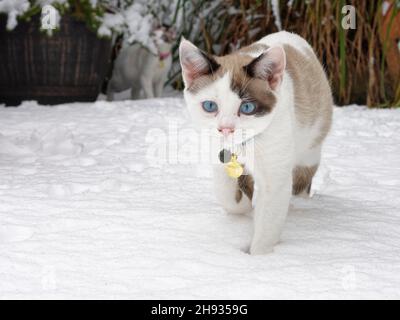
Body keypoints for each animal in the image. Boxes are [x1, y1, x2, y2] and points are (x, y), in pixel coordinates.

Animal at [180, 30, 332, 255]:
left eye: (247, 108)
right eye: (209, 106)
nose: (226, 128)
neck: (242, 147)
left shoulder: (275, 177)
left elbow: (268, 222)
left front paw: (259, 258)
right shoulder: (219, 156)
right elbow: (225, 195)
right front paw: (242, 203)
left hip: (310, 147)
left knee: (302, 180)